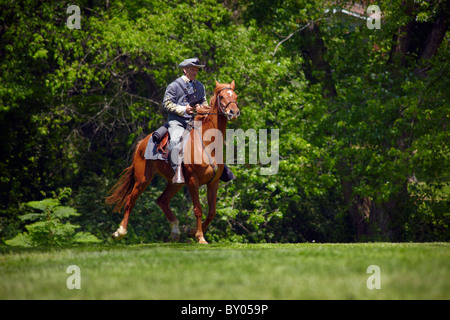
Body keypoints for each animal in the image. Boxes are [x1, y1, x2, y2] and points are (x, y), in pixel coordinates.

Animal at [106, 80, 239, 242]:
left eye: (235, 96)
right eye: (221, 96)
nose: (234, 112)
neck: (207, 144)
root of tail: (141, 144)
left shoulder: (213, 182)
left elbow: (212, 212)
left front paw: (192, 232)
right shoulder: (193, 180)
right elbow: (198, 209)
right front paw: (200, 237)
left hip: (175, 182)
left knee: (162, 200)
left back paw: (175, 230)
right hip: (143, 180)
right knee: (130, 200)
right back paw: (120, 231)